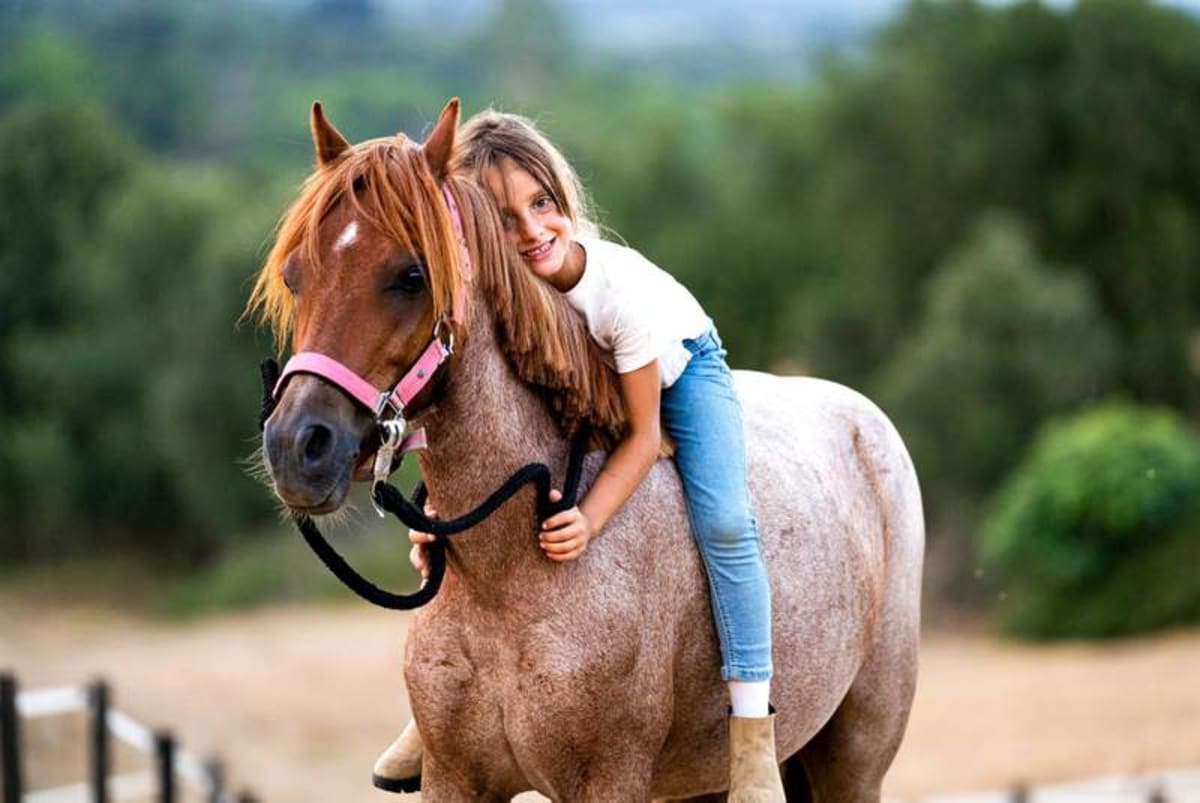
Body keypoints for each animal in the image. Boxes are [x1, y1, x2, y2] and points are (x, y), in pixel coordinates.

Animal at [250, 98, 924, 802]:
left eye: (410, 276)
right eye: (296, 277)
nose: (298, 446)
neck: (504, 580)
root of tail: (862, 418)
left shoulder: (607, 780)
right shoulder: (454, 779)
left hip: (854, 756)